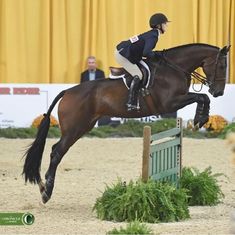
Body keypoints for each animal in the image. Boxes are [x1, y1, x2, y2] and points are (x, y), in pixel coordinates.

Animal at [22, 43, 229, 203]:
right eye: (221, 66)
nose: (218, 92)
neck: (174, 67)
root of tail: (67, 92)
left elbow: (202, 97)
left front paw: (201, 118)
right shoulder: (170, 102)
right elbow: (201, 97)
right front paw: (200, 119)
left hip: (84, 126)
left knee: (56, 149)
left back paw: (44, 188)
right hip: (74, 128)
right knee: (57, 152)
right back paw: (46, 192)